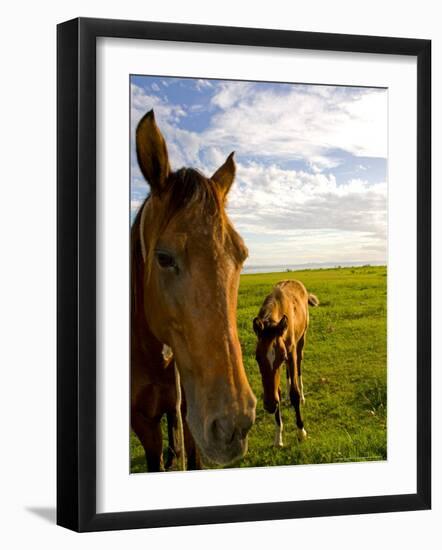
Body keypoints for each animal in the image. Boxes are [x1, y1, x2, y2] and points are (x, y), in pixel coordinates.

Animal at [252, 280, 318, 448]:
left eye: (281, 357)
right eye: (257, 358)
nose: (269, 404)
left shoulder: (290, 354)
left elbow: (294, 392)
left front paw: (301, 432)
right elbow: (278, 391)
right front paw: (278, 438)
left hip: (301, 342)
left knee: (298, 368)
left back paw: (302, 396)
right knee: (289, 373)